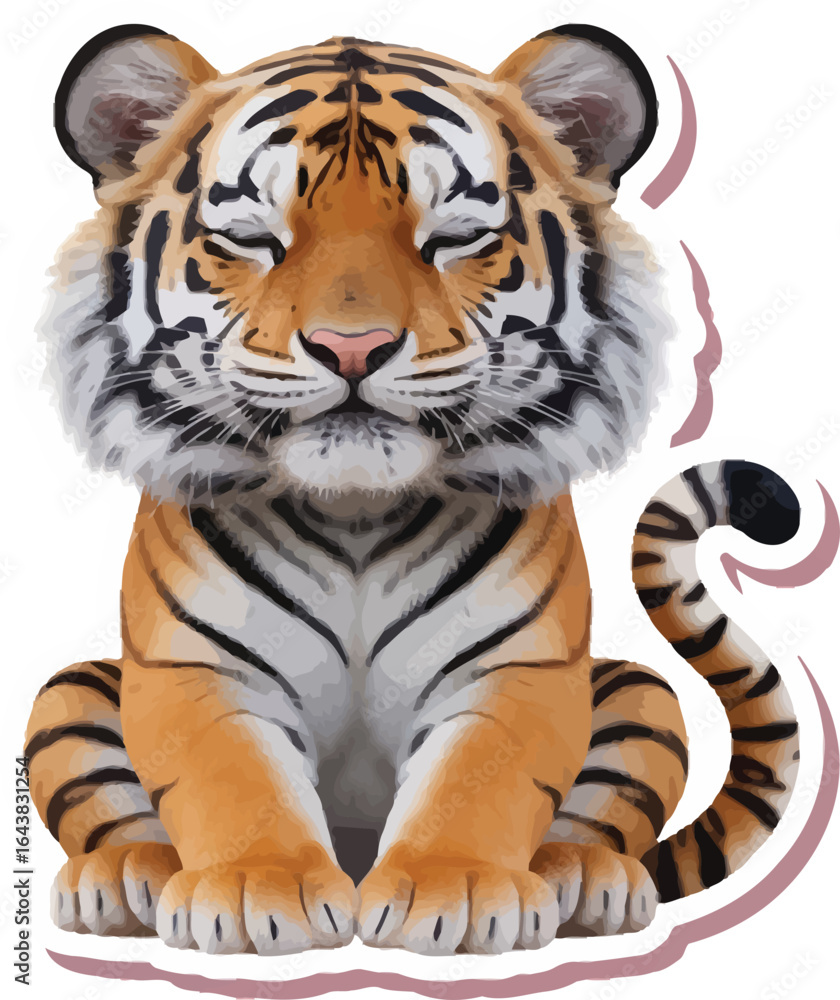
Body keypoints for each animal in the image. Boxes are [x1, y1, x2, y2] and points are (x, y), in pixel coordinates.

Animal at [24, 22, 801, 956]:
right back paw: (123, 878)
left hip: (638, 695)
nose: (351, 347)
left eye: (455, 236)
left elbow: (481, 779)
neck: (356, 507)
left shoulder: (515, 665)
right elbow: (230, 777)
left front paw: (452, 891)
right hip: (70, 694)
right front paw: (257, 891)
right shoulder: (197, 665)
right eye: (252, 237)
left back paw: (585, 879)